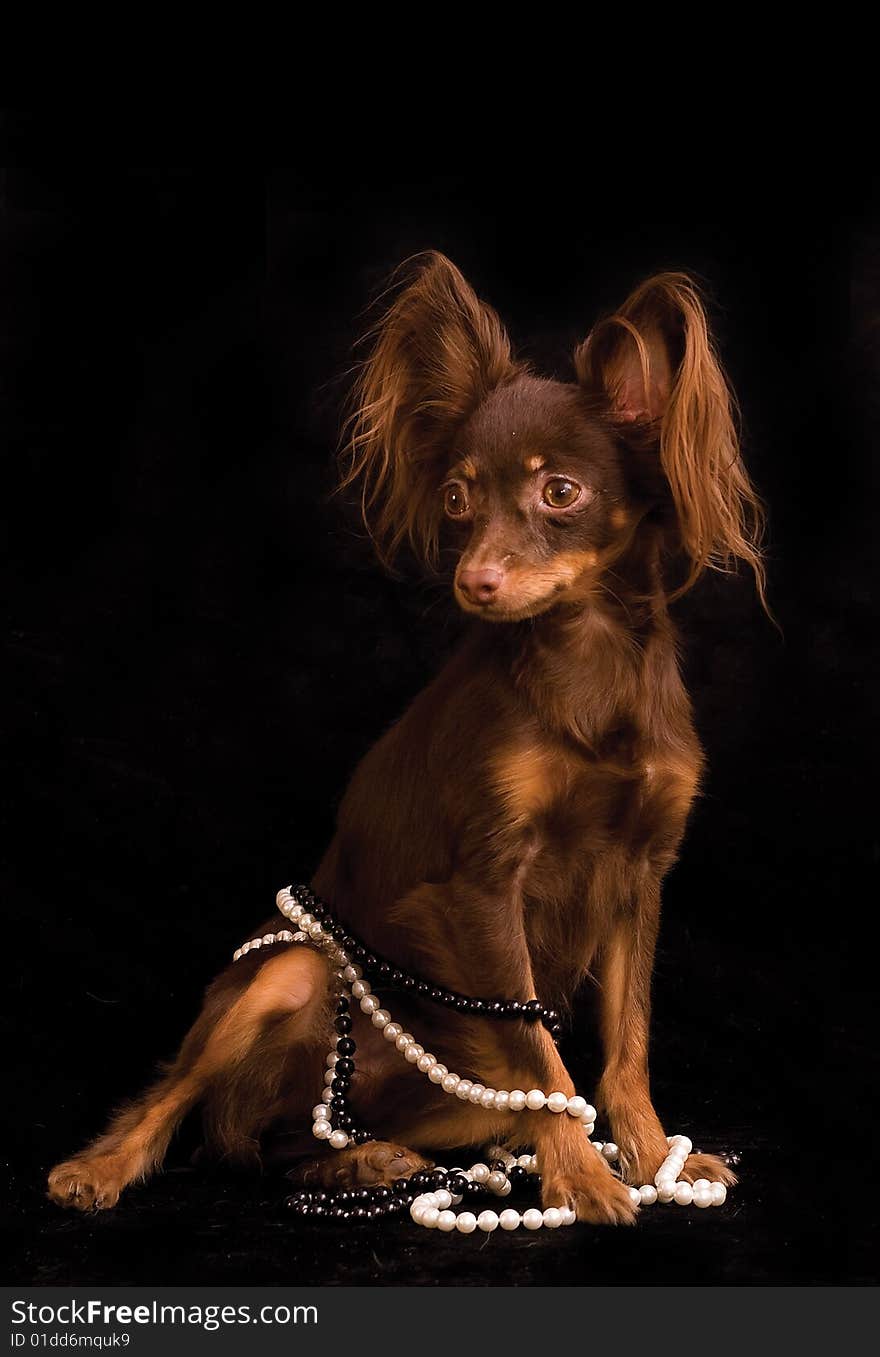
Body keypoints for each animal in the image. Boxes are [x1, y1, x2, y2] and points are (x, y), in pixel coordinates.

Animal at [49, 252, 760, 1221]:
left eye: (561, 493)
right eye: (457, 498)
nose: (477, 580)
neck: (588, 654)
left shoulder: (638, 877)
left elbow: (626, 1046)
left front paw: (654, 1159)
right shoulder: (482, 885)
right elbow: (543, 1055)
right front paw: (581, 1174)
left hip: (450, 1101)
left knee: (281, 1144)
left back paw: (360, 1160)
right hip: (290, 972)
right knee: (191, 1107)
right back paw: (105, 1166)